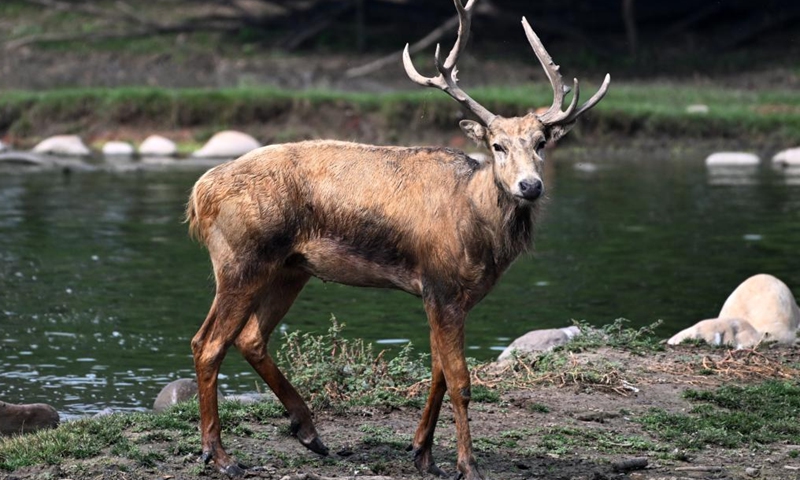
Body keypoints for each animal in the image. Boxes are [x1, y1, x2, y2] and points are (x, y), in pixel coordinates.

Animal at [185, 0, 609, 478]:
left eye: (540, 142)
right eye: (497, 145)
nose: (530, 186)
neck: (475, 224)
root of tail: (200, 194)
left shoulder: (447, 295)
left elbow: (439, 372)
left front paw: (422, 452)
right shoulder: (441, 285)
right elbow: (460, 380)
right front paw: (467, 464)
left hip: (290, 268)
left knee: (250, 338)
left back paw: (309, 431)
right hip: (241, 258)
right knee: (208, 343)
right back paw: (220, 454)